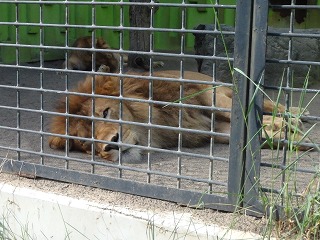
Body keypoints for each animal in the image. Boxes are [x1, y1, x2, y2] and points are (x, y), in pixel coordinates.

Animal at [48, 70, 312, 162]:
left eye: (105, 112)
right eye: (84, 143)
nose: (110, 145)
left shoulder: (207, 96)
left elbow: (241, 114)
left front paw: (292, 128)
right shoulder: (213, 130)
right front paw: (292, 138)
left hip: (217, 86)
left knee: (266, 102)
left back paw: (298, 113)